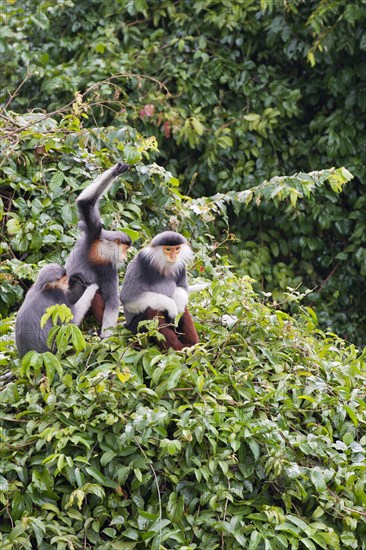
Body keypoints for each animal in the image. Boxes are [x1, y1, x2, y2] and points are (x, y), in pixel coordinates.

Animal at [65, 162, 132, 338]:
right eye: (125, 249)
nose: (126, 257)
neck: (100, 253)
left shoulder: (109, 267)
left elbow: (113, 302)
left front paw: (105, 338)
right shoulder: (93, 233)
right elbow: (85, 202)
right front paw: (116, 170)